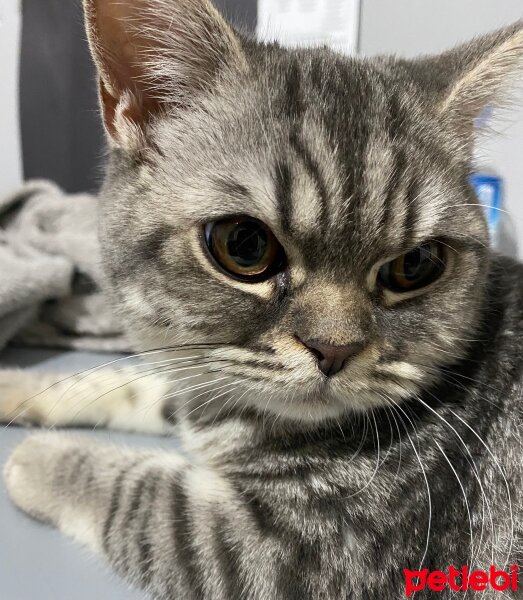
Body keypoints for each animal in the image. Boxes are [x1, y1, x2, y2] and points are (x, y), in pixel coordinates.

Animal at [1, 0, 523, 596]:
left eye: (415, 265)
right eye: (244, 245)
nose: (334, 349)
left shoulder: (292, 555)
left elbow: (147, 501)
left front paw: (40, 460)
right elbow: (136, 384)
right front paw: (20, 386)